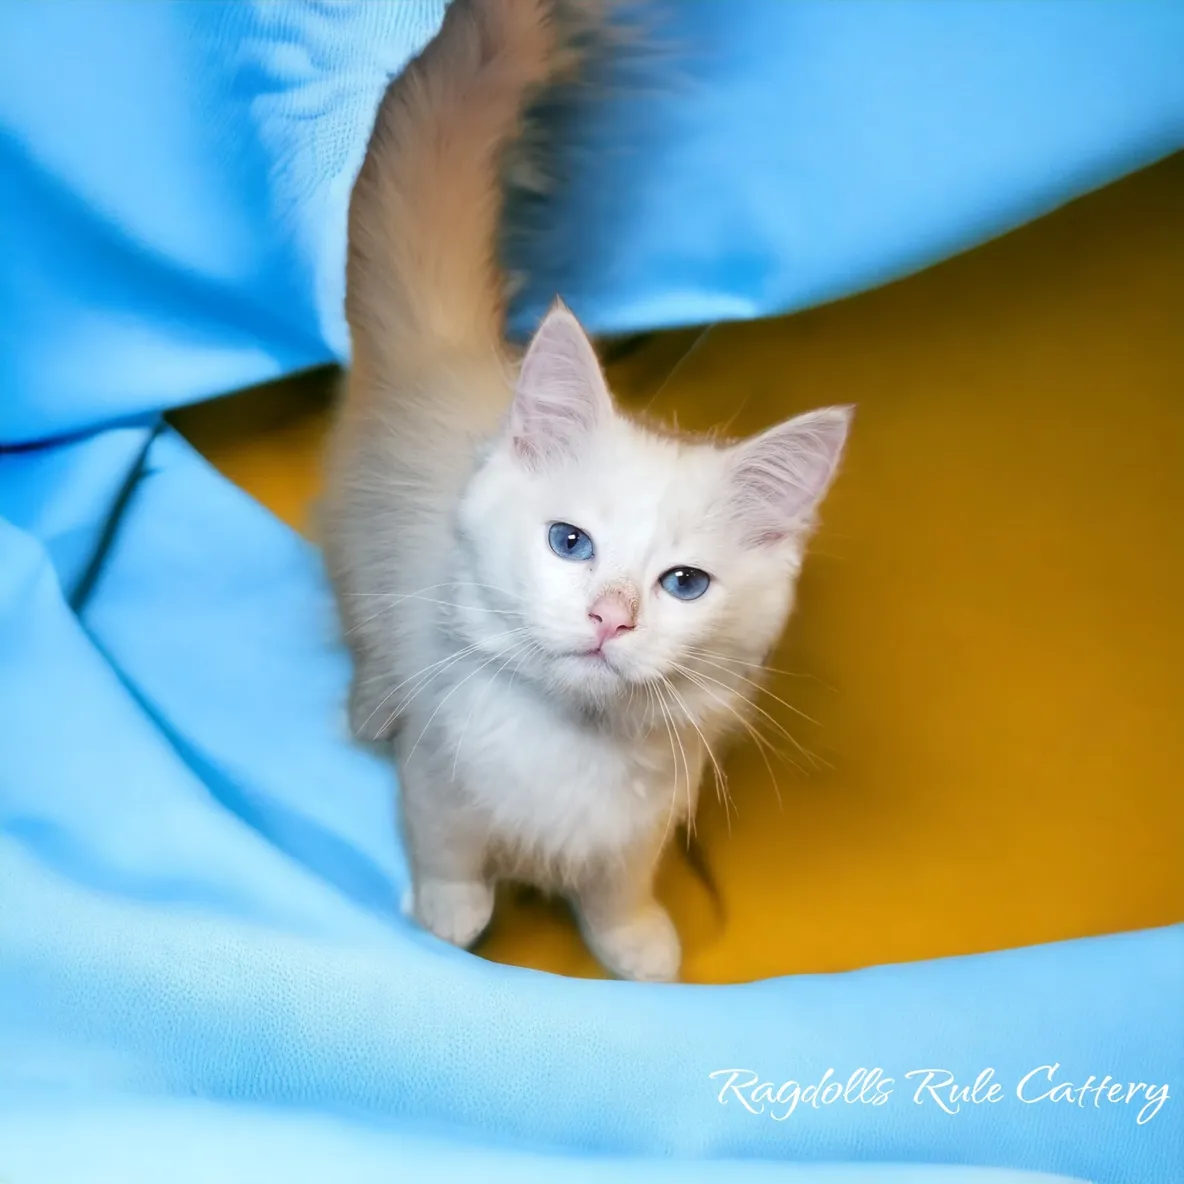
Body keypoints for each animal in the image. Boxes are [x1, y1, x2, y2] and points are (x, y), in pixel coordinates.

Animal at [319, 0, 847, 980]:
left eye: (684, 584)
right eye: (571, 543)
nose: (610, 618)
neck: (572, 744)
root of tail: (456, 350)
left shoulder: (640, 825)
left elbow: (616, 891)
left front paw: (639, 948)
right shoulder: (438, 775)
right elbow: (446, 851)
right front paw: (449, 919)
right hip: (357, 556)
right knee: (364, 635)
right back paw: (370, 706)